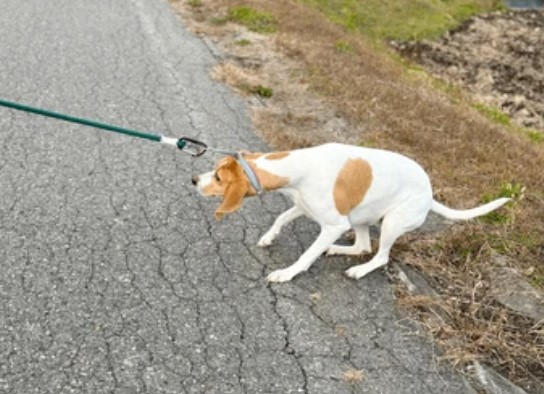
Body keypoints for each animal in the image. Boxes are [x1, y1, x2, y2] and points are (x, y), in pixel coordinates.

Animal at [191, 143, 510, 282]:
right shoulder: (303, 206)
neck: (299, 166)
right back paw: (334, 249)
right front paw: (269, 238)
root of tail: (430, 194)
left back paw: (358, 269)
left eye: (218, 178)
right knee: (362, 245)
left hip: (391, 222)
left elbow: (305, 256)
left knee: (379, 256)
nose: (194, 180)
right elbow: (281, 217)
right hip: (360, 217)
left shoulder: (333, 224)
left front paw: (287, 273)